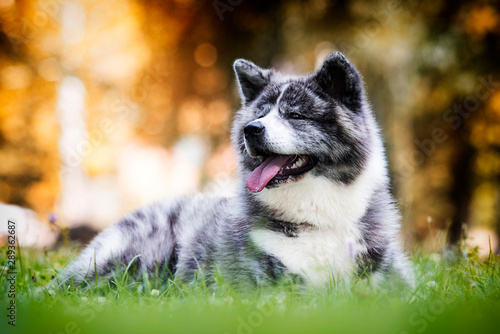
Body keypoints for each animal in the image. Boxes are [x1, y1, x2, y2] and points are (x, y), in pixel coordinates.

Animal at [57, 52, 414, 290]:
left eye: (296, 115)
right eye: (260, 114)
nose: (251, 130)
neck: (320, 217)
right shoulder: (269, 283)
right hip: (130, 258)